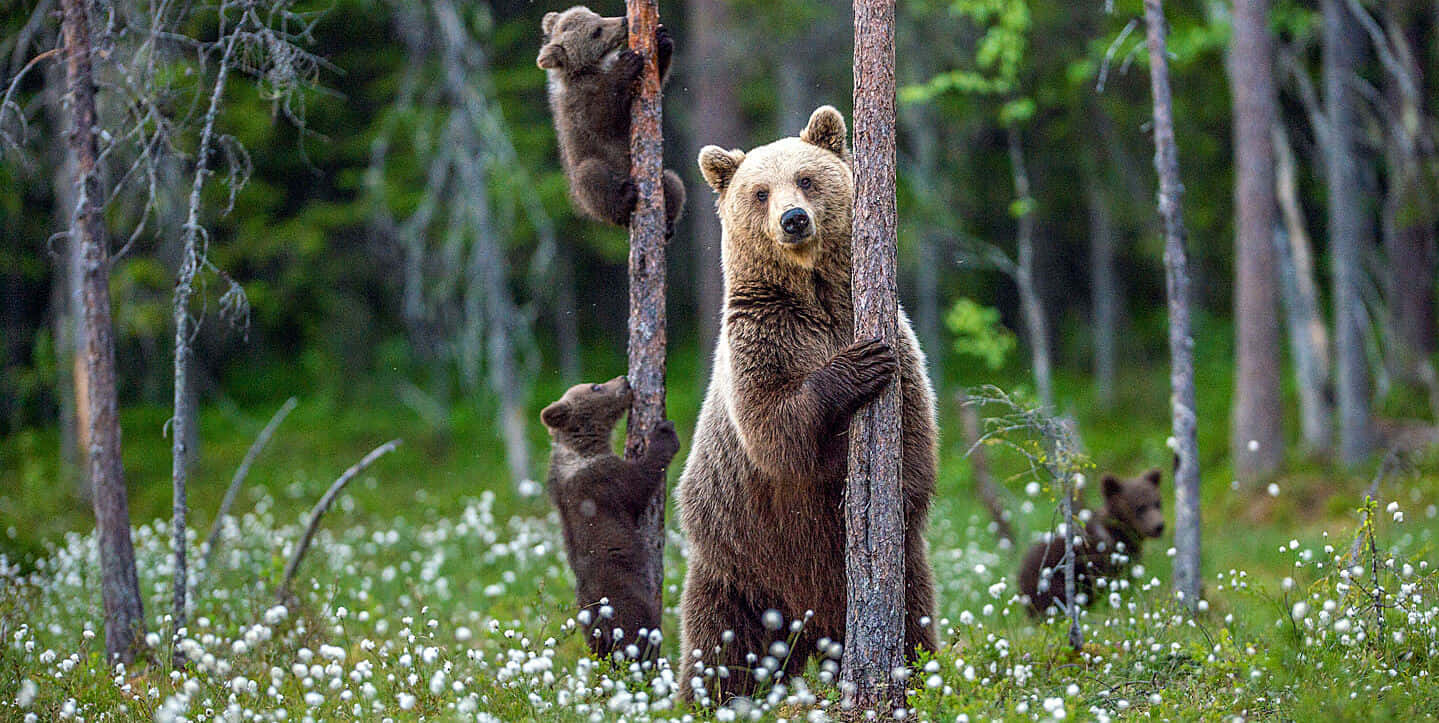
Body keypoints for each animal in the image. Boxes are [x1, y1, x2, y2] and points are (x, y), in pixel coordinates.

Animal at [537, 6, 686, 236]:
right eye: (596, 31)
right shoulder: (578, 104)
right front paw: (627, 63)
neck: (589, 69)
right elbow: (601, 118)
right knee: (591, 176)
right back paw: (625, 200)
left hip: (662, 178)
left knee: (673, 182)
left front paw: (662, 40)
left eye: (597, 15)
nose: (624, 20)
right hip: (586, 182)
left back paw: (668, 224)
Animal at [540, 376, 681, 661]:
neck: (583, 447)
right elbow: (640, 482)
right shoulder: (603, 481)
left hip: (586, 623)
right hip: (625, 598)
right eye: (595, 386)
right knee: (638, 634)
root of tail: (599, 615)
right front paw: (664, 433)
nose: (624, 380)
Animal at [676, 106, 939, 704]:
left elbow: (914, 431)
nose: (793, 219)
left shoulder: (892, 333)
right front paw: (856, 368)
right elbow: (775, 429)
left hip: (900, 576)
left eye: (807, 178)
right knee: (719, 649)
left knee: (915, 620)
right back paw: (706, 699)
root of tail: (809, 628)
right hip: (738, 567)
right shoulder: (761, 338)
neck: (813, 293)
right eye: (759, 191)